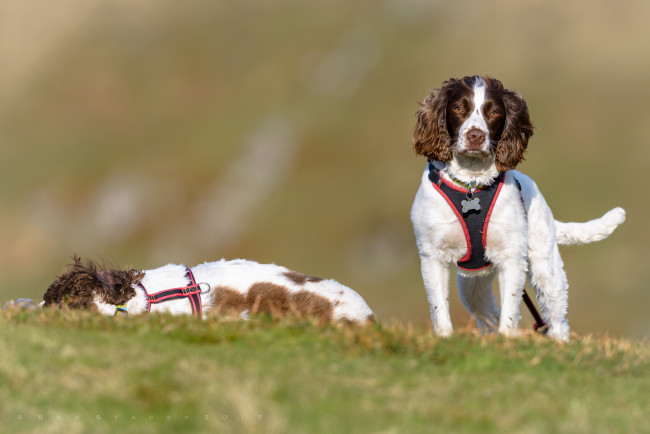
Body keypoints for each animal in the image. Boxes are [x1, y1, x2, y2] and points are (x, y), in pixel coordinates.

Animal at [410, 75, 624, 342]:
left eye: (494, 112)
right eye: (458, 108)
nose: (475, 136)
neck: (471, 184)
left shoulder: (511, 256)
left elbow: (510, 310)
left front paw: (507, 341)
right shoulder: (432, 255)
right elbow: (439, 306)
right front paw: (445, 338)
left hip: (545, 267)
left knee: (557, 317)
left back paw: (558, 342)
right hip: (472, 282)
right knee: (487, 313)